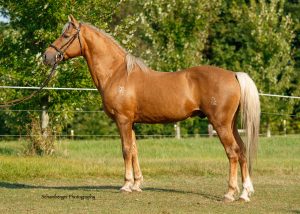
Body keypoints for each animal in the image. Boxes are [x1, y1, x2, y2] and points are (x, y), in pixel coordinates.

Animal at [42, 15, 260, 202]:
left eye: (66, 36)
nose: (46, 56)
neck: (117, 74)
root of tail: (233, 74)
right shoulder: (131, 122)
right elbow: (134, 150)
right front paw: (137, 184)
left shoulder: (123, 120)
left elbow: (126, 150)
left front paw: (126, 185)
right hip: (231, 125)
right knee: (242, 151)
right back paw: (245, 193)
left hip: (220, 124)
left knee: (232, 153)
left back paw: (230, 193)